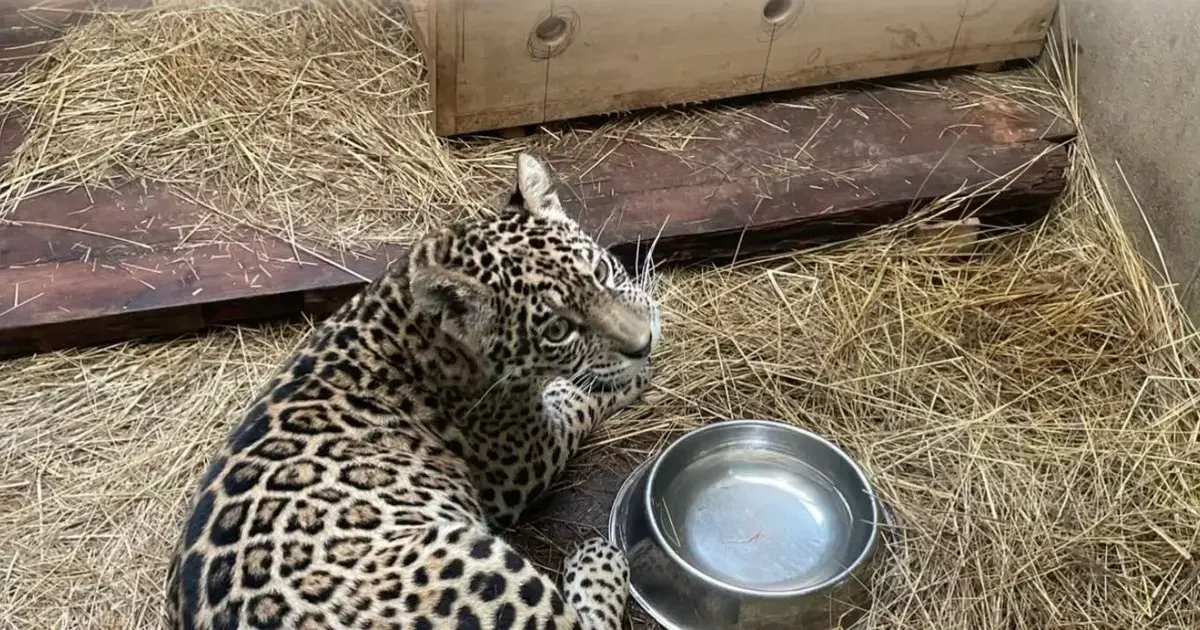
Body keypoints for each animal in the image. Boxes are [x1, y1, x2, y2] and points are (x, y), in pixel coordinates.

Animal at [164, 153, 662, 630]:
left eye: (601, 271)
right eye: (558, 330)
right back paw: (597, 559)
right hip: (479, 567)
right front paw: (624, 376)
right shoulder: (522, 464)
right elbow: (577, 399)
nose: (644, 343)